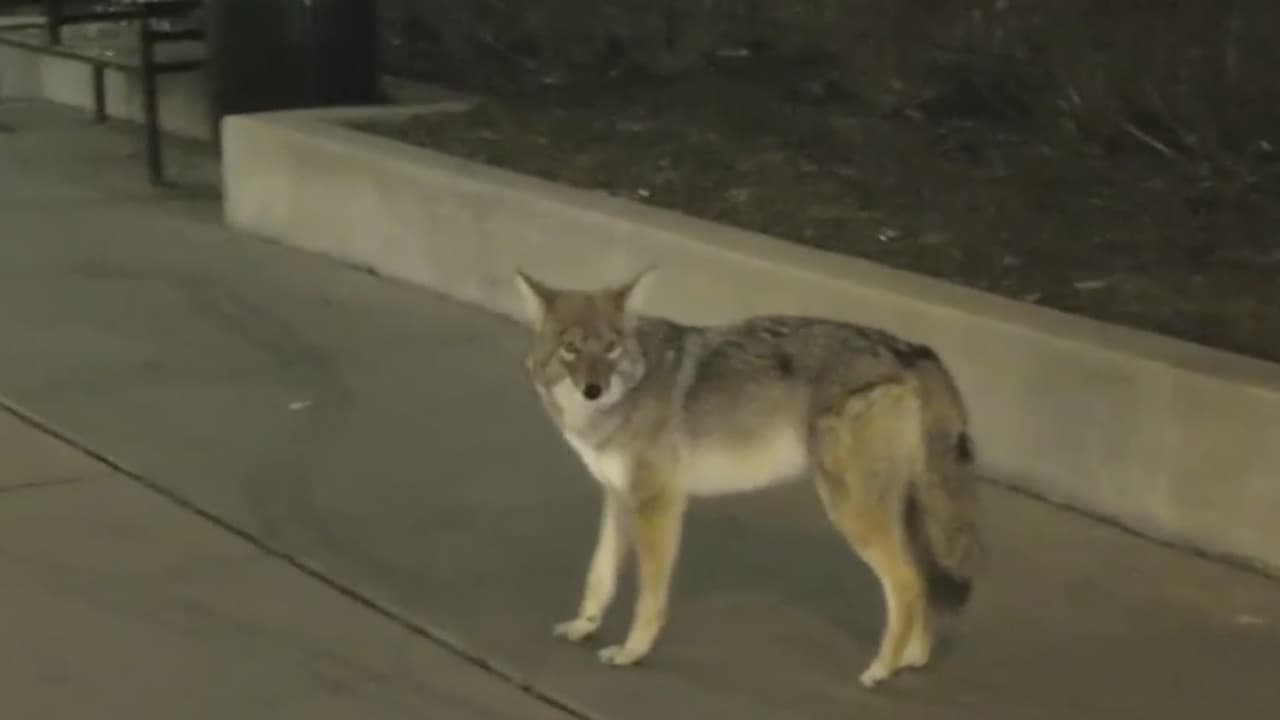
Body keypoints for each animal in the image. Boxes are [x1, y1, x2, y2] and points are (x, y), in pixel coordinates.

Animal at [513, 268, 984, 688]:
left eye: (610, 348)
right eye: (571, 348)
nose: (594, 389)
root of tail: (913, 349)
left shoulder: (659, 504)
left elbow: (649, 596)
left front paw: (632, 653)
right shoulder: (618, 498)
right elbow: (599, 577)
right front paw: (583, 627)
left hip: (852, 513)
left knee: (907, 585)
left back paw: (881, 671)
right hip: (892, 513)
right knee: (922, 582)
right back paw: (911, 659)